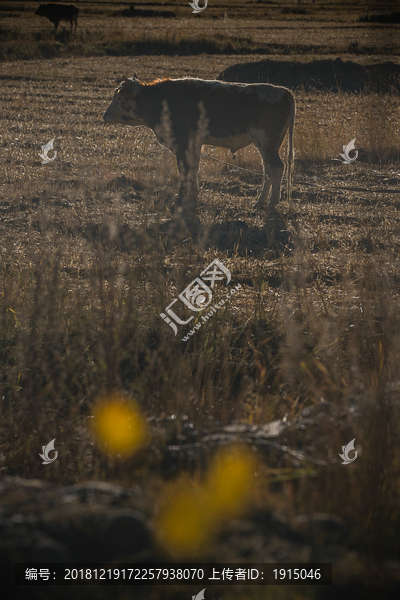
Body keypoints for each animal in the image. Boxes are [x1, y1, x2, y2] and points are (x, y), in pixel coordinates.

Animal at [104, 75, 296, 225]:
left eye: (119, 99)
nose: (105, 115)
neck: (161, 100)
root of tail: (283, 91)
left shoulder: (182, 143)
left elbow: (184, 171)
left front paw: (180, 201)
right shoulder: (194, 144)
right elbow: (193, 170)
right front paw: (192, 198)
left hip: (266, 141)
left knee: (276, 168)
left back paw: (272, 203)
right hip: (268, 144)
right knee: (267, 170)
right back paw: (260, 202)